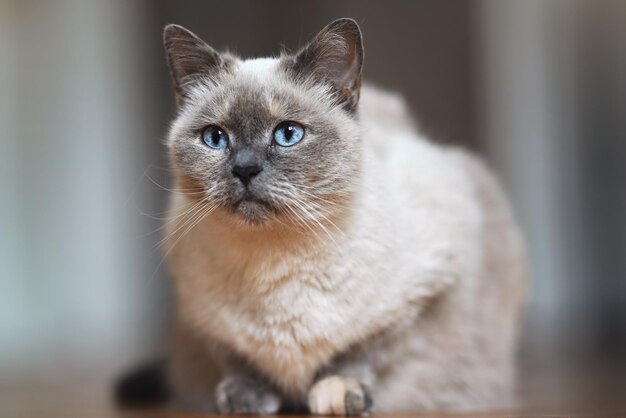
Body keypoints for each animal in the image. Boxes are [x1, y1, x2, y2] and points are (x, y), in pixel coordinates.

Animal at [149, 17, 524, 414]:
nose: (245, 169)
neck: (273, 268)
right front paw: (242, 398)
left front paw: (339, 393)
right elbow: (238, 359)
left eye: (288, 134)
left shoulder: (415, 302)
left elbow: (355, 355)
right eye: (215, 138)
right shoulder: (202, 320)